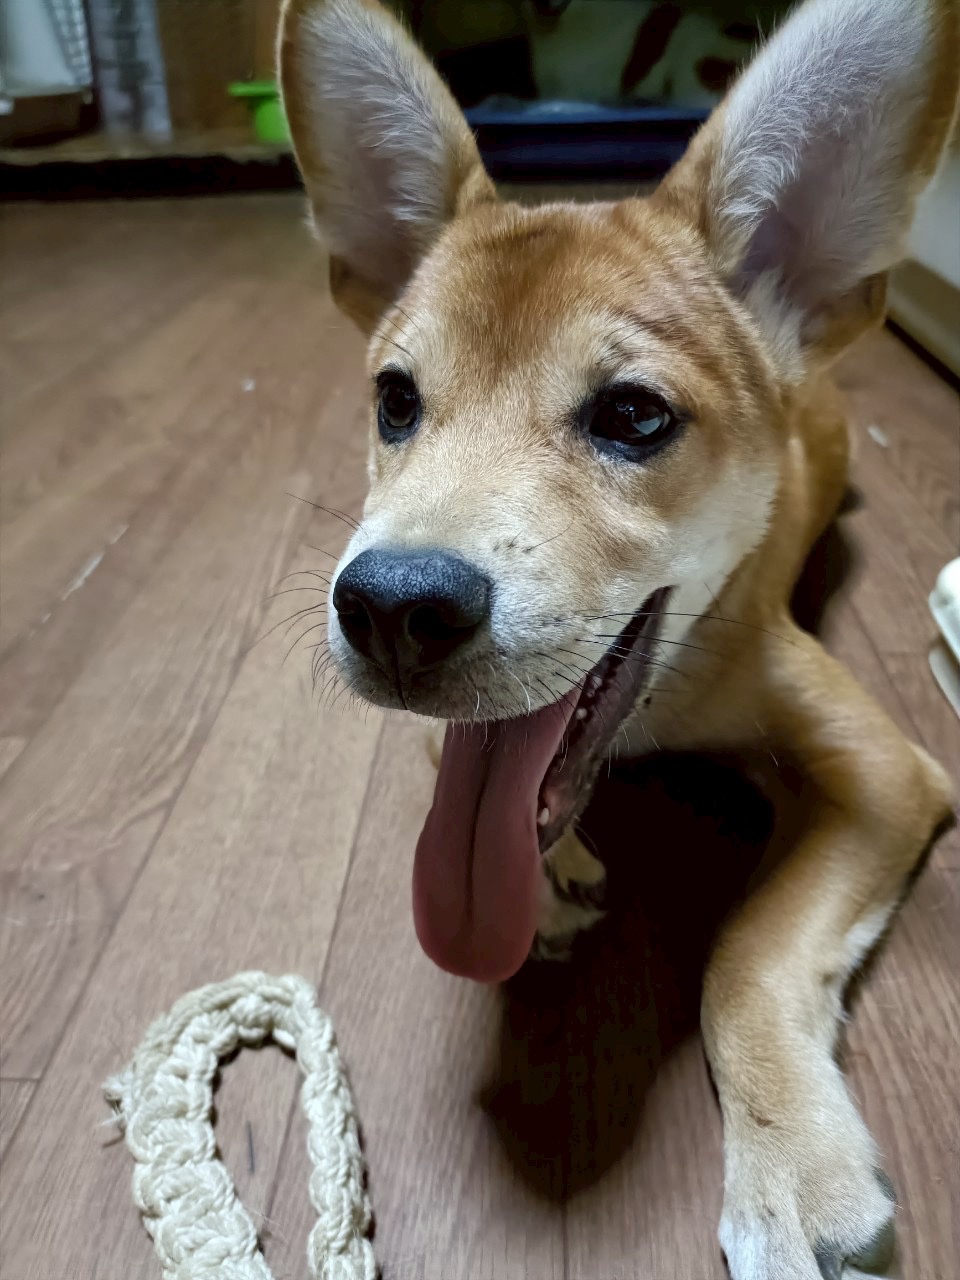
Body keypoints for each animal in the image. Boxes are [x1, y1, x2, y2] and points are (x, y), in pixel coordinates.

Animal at [279, 1, 959, 1275]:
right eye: (395, 400)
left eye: (635, 416)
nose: (389, 607)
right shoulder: (442, 733)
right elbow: (447, 767)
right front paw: (553, 874)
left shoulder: (885, 771)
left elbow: (746, 951)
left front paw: (791, 1165)